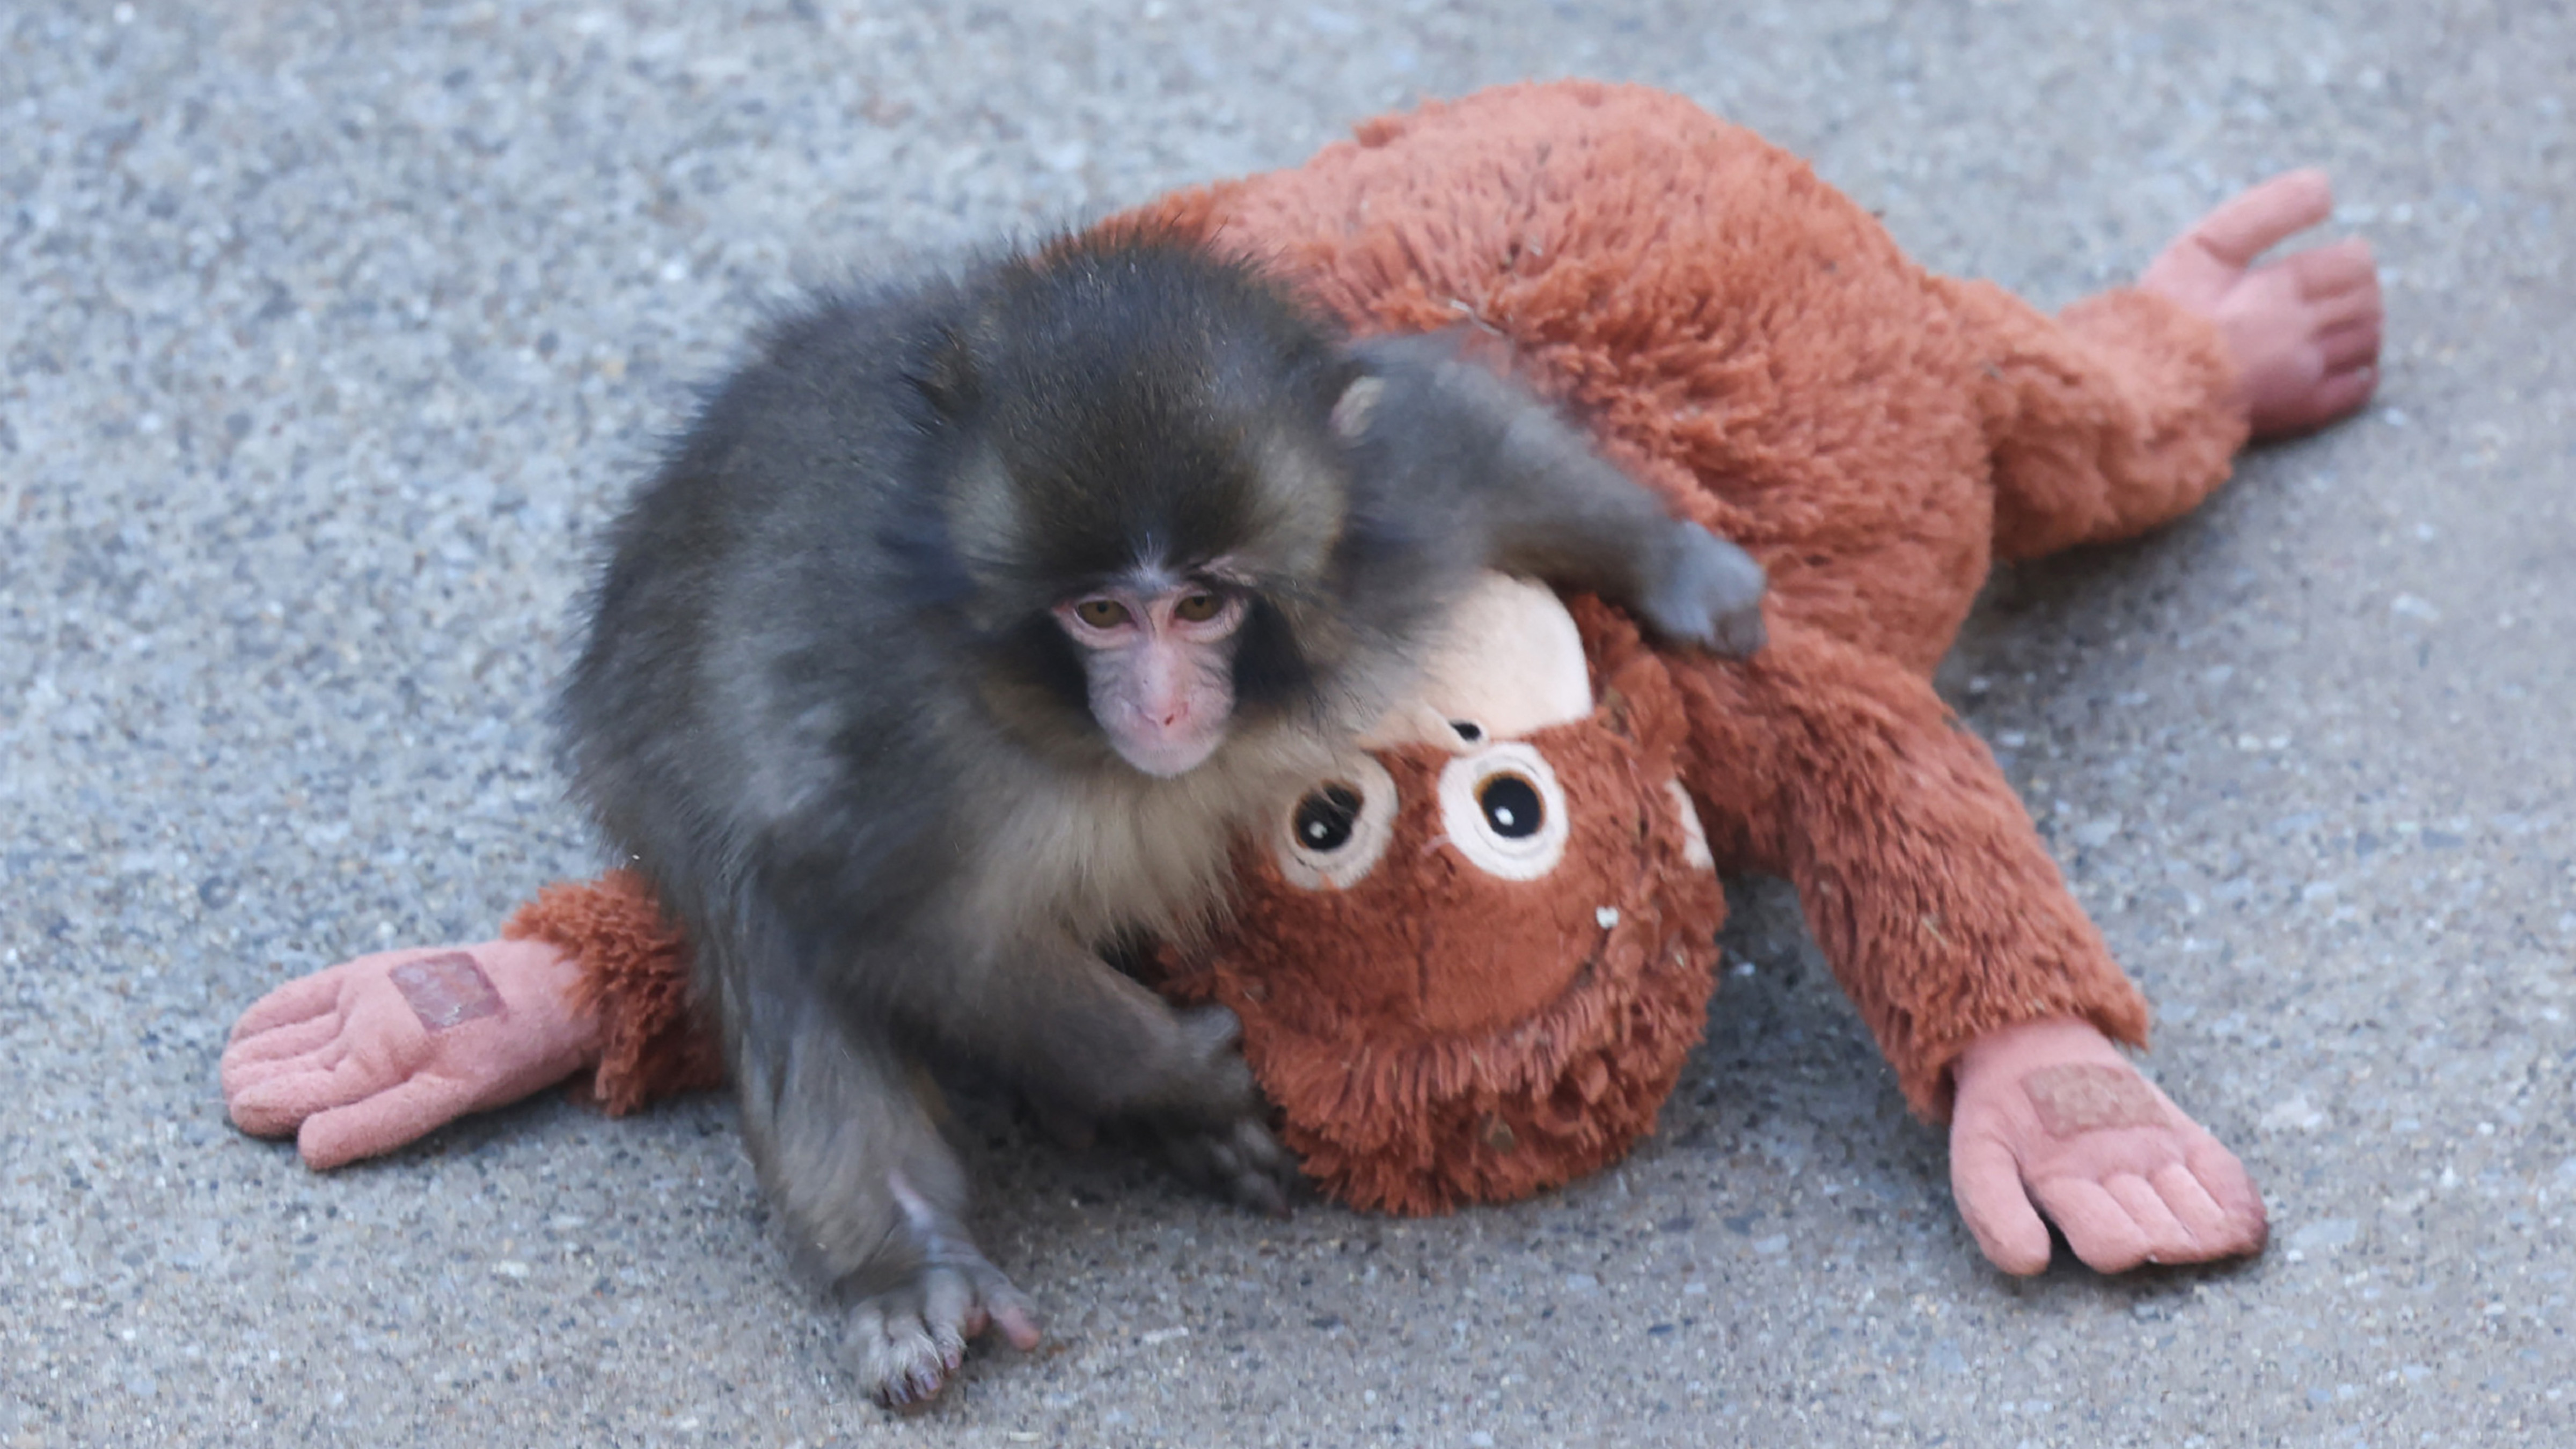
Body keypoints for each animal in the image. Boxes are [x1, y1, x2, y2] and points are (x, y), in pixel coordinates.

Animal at [556, 232, 1766, 1406]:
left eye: (1200, 604)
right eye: (1099, 612)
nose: (1165, 706)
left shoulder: (1386, 528)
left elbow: (1460, 429)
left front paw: (1684, 568)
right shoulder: (898, 747)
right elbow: (898, 927)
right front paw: (1181, 1073)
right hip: (646, 757)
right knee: (761, 917)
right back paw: (909, 1260)